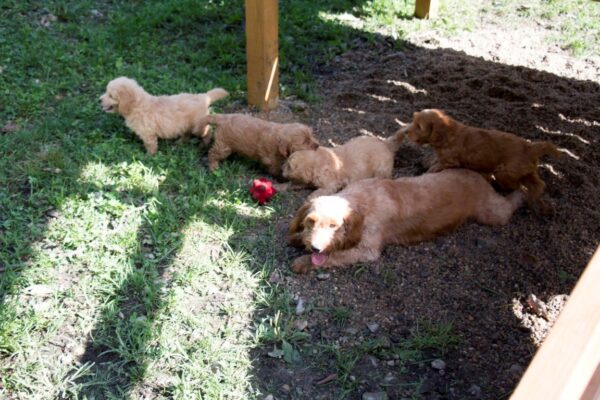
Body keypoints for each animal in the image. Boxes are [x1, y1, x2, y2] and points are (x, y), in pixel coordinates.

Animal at [288, 167, 524, 274]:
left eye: (334, 226)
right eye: (311, 221)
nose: (316, 248)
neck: (359, 202)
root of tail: (478, 174)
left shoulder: (367, 250)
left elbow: (334, 256)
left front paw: (302, 262)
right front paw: (299, 238)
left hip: (492, 214)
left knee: (508, 205)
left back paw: (523, 192)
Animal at [406, 108, 560, 211]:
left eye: (419, 127)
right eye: (413, 121)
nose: (406, 132)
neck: (448, 132)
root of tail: (530, 147)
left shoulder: (449, 160)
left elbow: (435, 166)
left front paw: (425, 174)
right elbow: (434, 161)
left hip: (505, 172)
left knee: (518, 187)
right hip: (526, 170)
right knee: (538, 184)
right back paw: (536, 200)